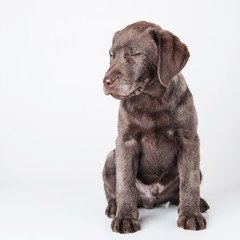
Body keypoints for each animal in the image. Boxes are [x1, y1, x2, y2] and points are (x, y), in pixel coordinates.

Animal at [102, 21, 209, 233]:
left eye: (134, 54)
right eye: (111, 55)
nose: (106, 82)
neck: (151, 98)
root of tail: (153, 198)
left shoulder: (189, 140)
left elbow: (189, 181)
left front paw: (191, 214)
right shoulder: (125, 141)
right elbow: (124, 183)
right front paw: (125, 218)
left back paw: (197, 203)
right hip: (111, 157)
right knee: (113, 191)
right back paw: (114, 207)